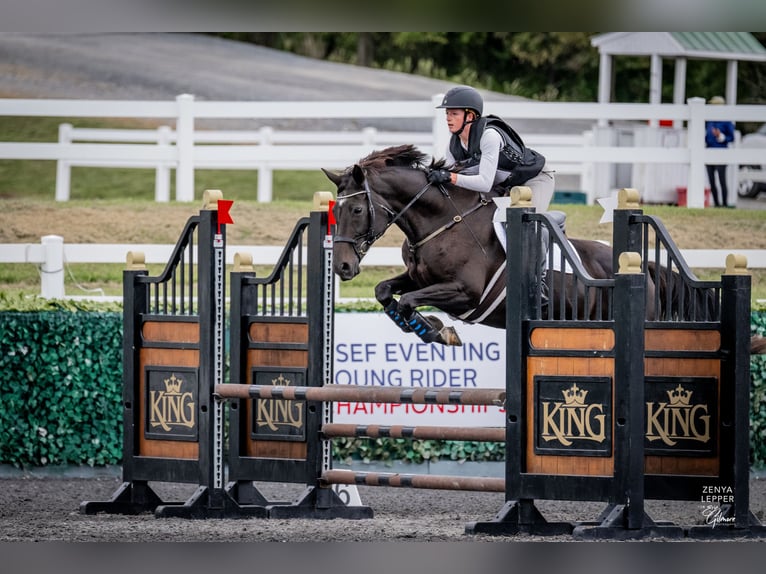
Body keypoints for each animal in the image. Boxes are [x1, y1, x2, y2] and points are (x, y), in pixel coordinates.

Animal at [320, 146, 688, 348]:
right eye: (335, 210)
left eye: (356, 210)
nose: (342, 266)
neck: (441, 221)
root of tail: (645, 269)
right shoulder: (421, 278)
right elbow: (385, 291)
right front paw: (429, 329)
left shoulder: (465, 292)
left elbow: (409, 301)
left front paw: (436, 331)